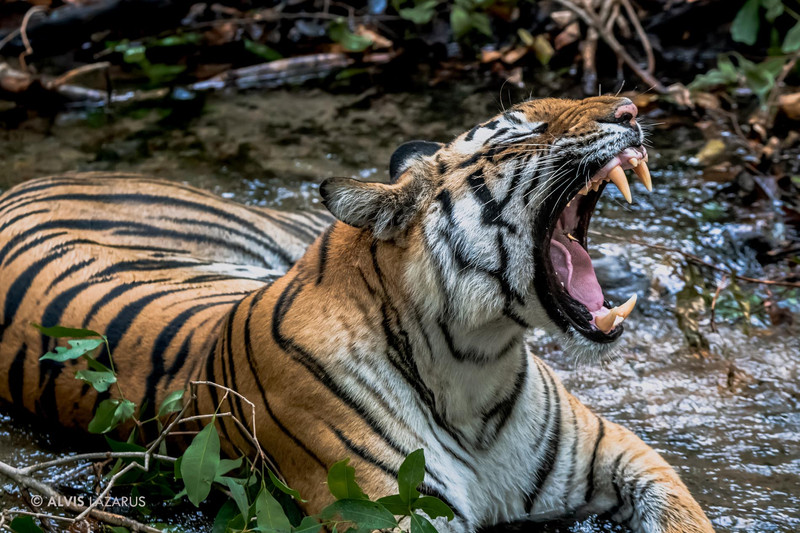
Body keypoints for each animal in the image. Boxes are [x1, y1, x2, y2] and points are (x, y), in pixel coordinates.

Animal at [0, 96, 715, 533]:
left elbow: (685, 513)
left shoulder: (620, 452)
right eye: (524, 130)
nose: (631, 108)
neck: (475, 362)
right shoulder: (385, 509)